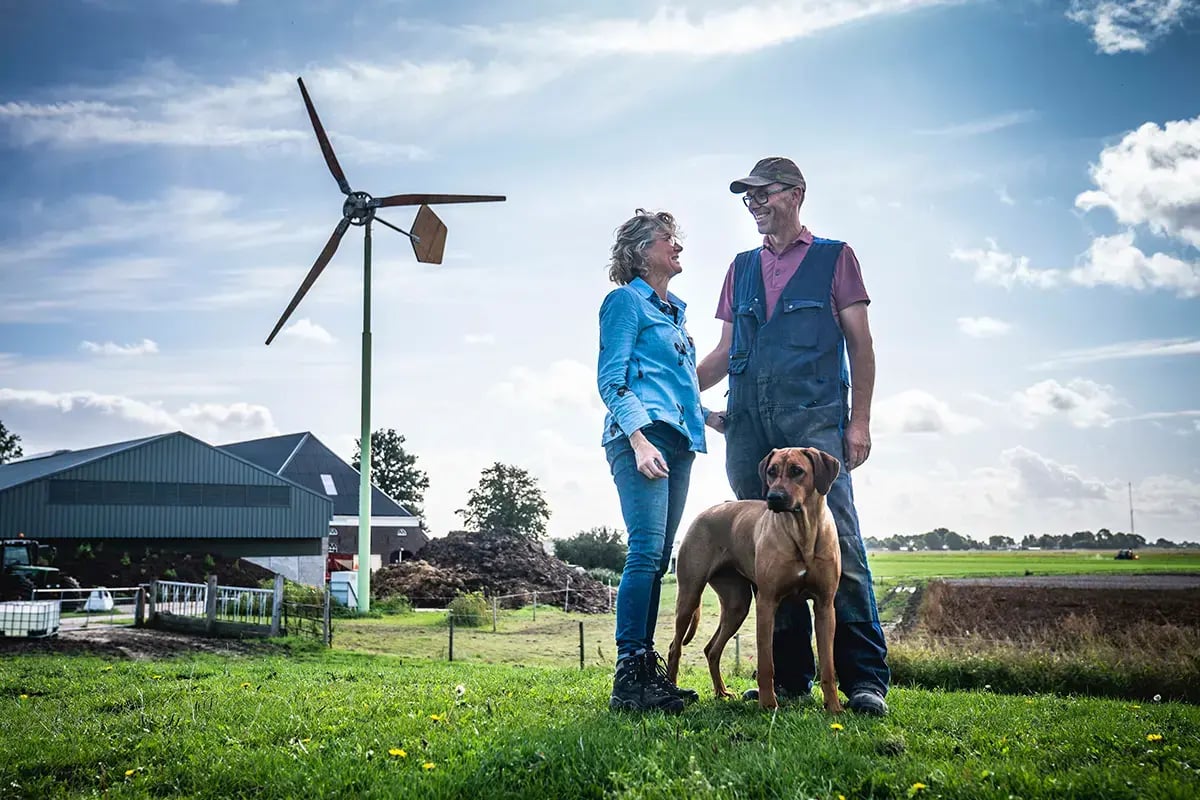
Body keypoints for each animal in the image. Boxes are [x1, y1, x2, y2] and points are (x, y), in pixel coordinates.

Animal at [667, 443, 844, 714]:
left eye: (797, 471)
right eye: (771, 472)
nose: (774, 498)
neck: (803, 530)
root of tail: (706, 511)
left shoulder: (825, 605)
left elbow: (828, 666)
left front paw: (834, 707)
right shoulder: (767, 602)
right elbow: (766, 664)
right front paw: (768, 704)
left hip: (737, 604)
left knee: (712, 649)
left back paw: (721, 691)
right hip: (689, 595)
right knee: (674, 648)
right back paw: (672, 690)